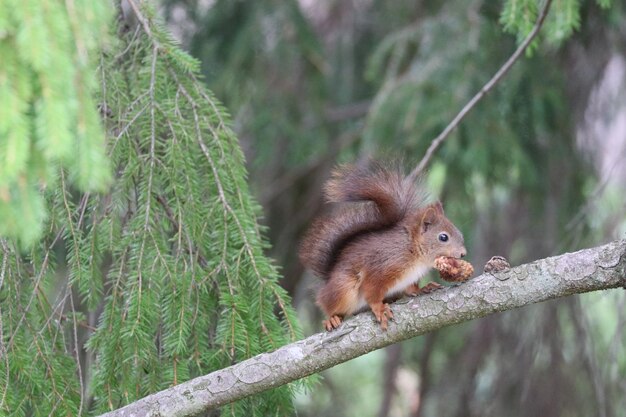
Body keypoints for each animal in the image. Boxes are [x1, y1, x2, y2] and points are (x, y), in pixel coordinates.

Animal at [300, 161, 466, 330]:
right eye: (443, 237)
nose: (463, 253)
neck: (414, 252)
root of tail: (327, 280)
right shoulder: (382, 269)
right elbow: (372, 292)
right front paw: (379, 308)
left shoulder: (408, 279)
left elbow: (411, 289)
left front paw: (423, 288)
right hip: (344, 289)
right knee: (330, 306)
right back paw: (332, 318)